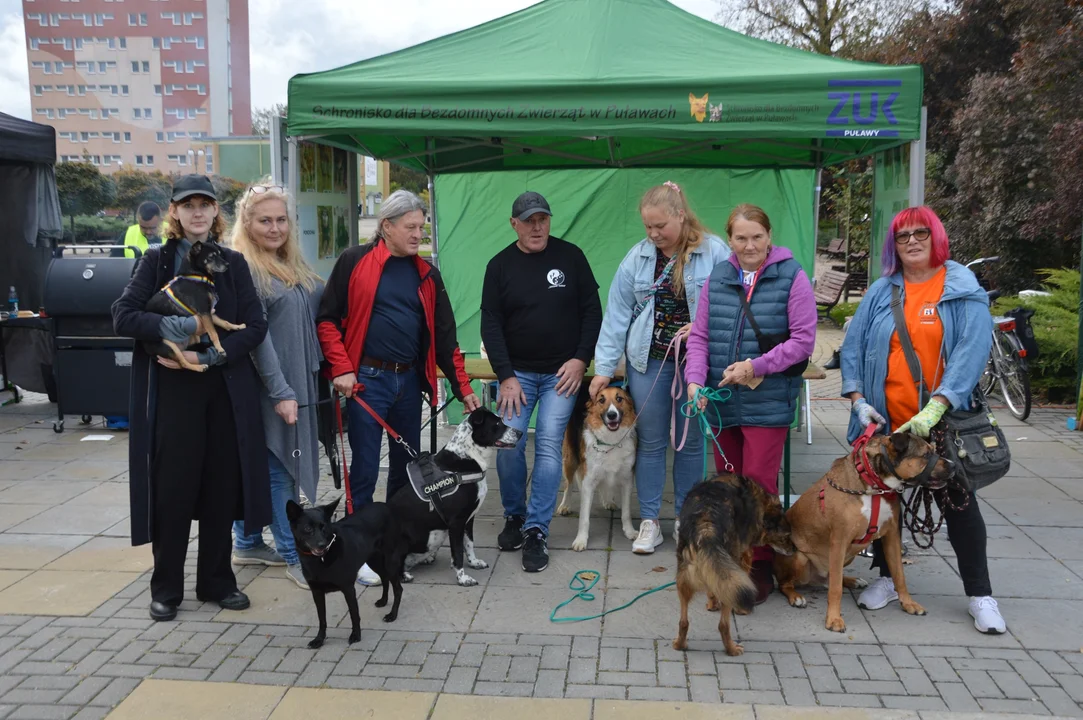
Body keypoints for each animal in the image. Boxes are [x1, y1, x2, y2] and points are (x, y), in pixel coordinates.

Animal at [558, 387, 632, 550]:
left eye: (619, 398)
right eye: (601, 400)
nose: (612, 415)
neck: (610, 442)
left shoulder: (626, 480)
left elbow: (626, 512)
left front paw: (630, 531)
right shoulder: (588, 480)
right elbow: (584, 518)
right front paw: (581, 540)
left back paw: (608, 500)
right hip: (571, 459)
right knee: (568, 484)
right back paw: (565, 505)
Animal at [771, 424, 957, 632]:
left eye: (934, 449)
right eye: (925, 454)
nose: (954, 465)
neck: (875, 485)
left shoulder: (892, 536)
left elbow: (899, 575)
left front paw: (908, 603)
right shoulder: (839, 540)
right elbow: (835, 589)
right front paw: (834, 619)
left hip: (848, 555)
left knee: (832, 577)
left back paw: (852, 581)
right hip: (799, 557)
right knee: (788, 583)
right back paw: (796, 596)